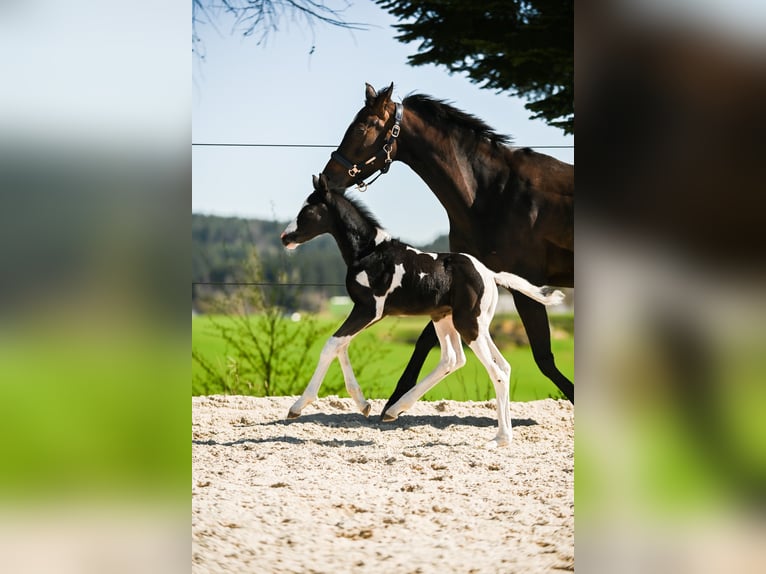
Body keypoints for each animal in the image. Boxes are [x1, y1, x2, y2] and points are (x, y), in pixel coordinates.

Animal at [281, 174, 564, 448]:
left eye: (308, 210)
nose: (285, 237)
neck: (369, 251)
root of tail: (490, 274)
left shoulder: (369, 310)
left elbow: (332, 344)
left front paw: (297, 407)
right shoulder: (365, 312)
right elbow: (342, 345)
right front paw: (363, 404)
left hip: (467, 325)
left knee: (496, 372)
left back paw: (499, 439)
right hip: (454, 321)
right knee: (464, 360)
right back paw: (395, 409)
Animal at [320, 83, 574, 416]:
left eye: (363, 127)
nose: (327, 177)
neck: (492, 194)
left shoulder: (523, 286)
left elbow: (544, 357)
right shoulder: (457, 281)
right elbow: (425, 340)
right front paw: (394, 403)